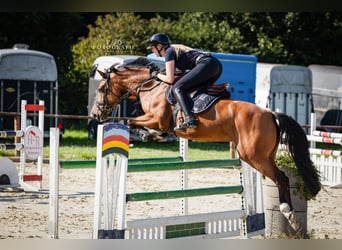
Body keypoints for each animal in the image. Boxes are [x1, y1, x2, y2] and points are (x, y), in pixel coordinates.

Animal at [91, 57, 320, 230]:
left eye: (101, 88)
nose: (95, 115)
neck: (151, 86)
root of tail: (271, 113)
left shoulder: (157, 118)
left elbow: (128, 121)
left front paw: (151, 136)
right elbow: (132, 123)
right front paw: (153, 136)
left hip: (253, 156)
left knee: (281, 177)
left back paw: (288, 213)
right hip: (262, 155)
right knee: (281, 177)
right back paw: (291, 216)